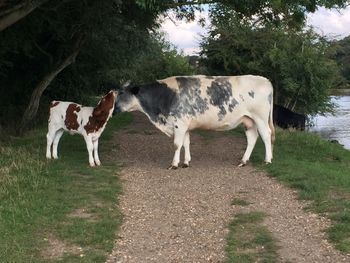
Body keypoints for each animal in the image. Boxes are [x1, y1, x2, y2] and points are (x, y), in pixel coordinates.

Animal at [113, 75, 274, 169]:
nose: (113, 110)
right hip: (248, 120)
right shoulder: (185, 125)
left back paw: (268, 160)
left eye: (121, 93)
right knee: (252, 138)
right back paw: (243, 161)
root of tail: (266, 80)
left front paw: (174, 164)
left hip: (260, 117)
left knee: (266, 135)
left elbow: (177, 144)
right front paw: (186, 162)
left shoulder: (179, 123)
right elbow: (186, 143)